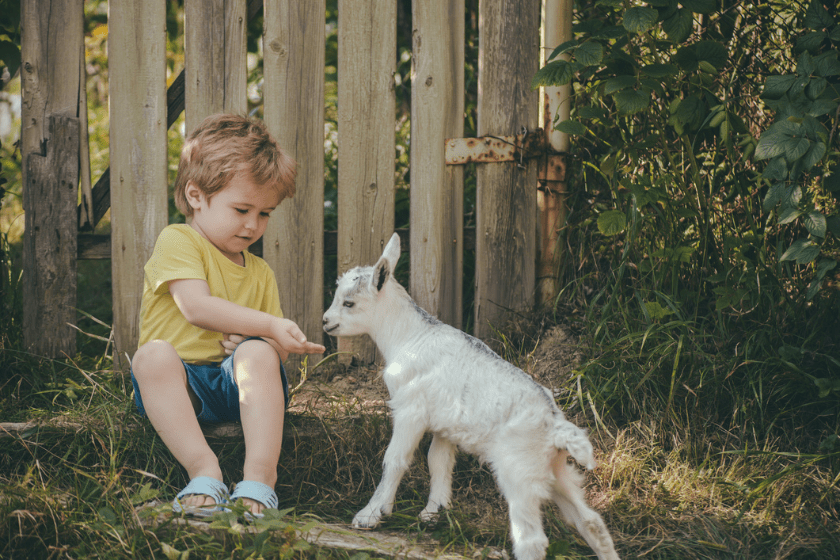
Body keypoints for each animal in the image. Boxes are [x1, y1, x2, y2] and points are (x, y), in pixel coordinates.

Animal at [322, 233, 616, 560]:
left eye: (349, 303)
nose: (325, 321)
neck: (409, 337)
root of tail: (555, 427)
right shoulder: (445, 424)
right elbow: (438, 461)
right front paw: (434, 512)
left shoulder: (410, 409)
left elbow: (395, 459)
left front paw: (371, 515)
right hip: (555, 471)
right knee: (592, 522)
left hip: (519, 473)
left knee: (531, 540)